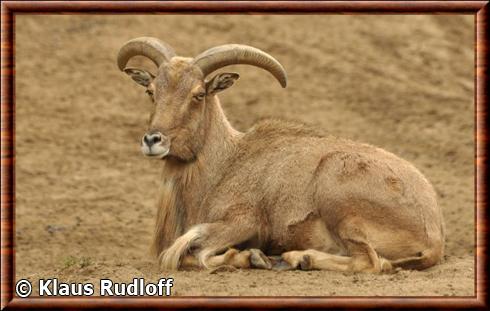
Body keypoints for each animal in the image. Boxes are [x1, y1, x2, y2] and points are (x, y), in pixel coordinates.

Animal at [117, 37, 444, 274]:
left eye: (198, 94)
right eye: (150, 91)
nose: (153, 140)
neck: (224, 164)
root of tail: (433, 231)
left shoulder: (244, 221)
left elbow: (191, 252)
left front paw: (253, 258)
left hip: (338, 194)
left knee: (370, 262)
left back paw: (298, 258)